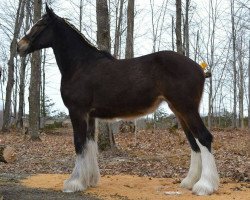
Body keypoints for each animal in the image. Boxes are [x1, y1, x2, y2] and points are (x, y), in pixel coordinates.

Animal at [17, 4, 219, 195]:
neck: (80, 65)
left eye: (40, 24)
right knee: (194, 142)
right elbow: (90, 145)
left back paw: (204, 186)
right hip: (179, 110)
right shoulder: (90, 116)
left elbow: (79, 144)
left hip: (186, 108)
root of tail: (199, 69)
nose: (20, 46)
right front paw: (89, 180)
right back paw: (189, 182)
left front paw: (74, 183)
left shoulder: (77, 111)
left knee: (204, 138)